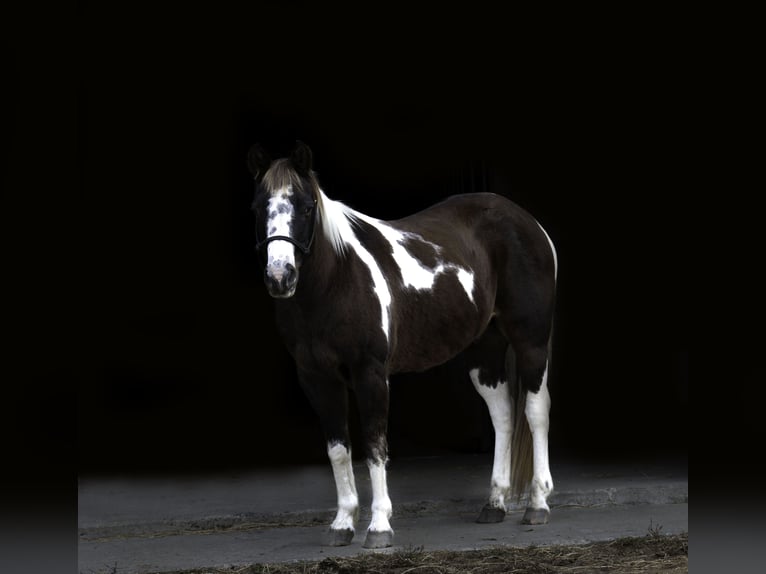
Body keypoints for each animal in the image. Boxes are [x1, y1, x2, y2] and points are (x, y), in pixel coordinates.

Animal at [250, 142, 560, 552]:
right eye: (258, 206)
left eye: (305, 205)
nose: (280, 276)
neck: (336, 283)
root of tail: (527, 222)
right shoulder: (317, 379)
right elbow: (339, 450)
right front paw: (342, 524)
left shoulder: (370, 375)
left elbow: (375, 446)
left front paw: (379, 526)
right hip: (484, 350)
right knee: (504, 416)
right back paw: (494, 503)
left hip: (531, 341)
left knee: (536, 411)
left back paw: (538, 504)